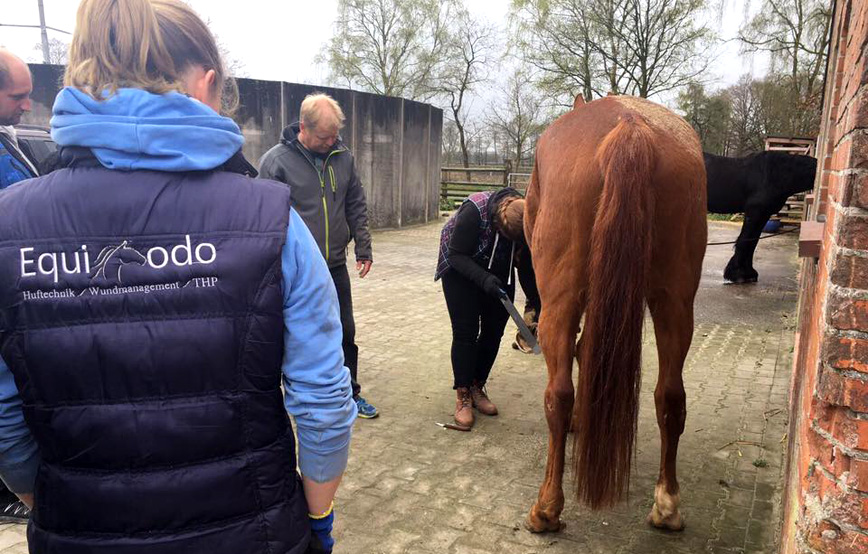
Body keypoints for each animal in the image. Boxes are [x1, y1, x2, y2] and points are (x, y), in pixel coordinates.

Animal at [524, 95, 707, 533]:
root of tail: (630, 124)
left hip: (561, 303)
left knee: (559, 395)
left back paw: (547, 508)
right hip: (675, 304)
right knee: (670, 397)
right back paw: (667, 507)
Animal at [705, 151, 817, 283]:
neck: (776, 174)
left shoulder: (764, 214)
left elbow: (753, 241)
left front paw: (747, 272)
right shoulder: (755, 212)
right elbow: (746, 240)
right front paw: (739, 274)